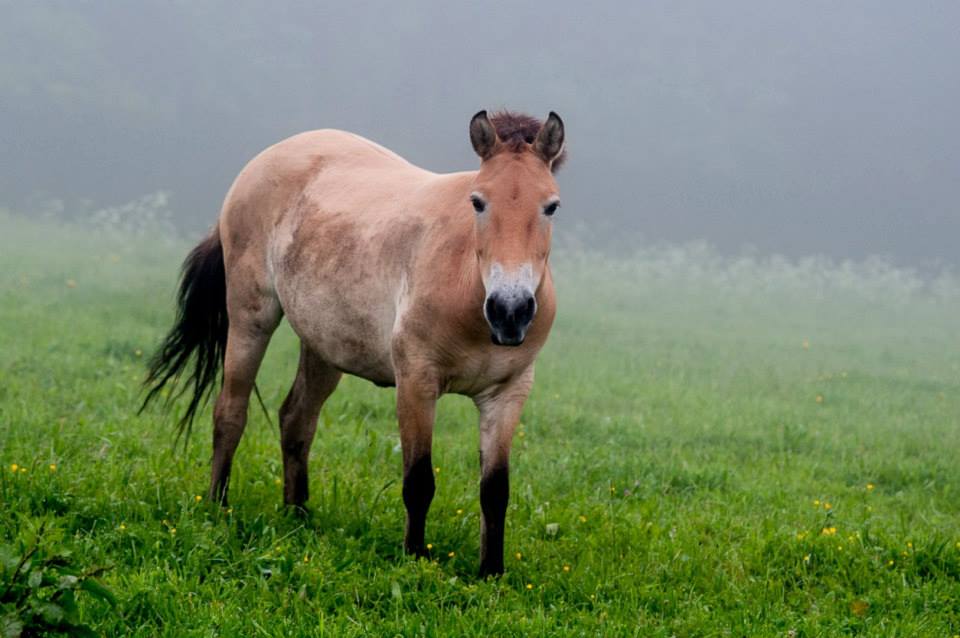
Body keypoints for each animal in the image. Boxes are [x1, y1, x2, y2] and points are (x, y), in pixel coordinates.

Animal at [139, 107, 568, 576]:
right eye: (477, 202)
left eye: (551, 206)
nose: (510, 310)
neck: (464, 283)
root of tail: (265, 159)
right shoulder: (416, 382)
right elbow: (419, 480)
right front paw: (415, 557)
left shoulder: (508, 394)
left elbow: (495, 489)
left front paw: (491, 571)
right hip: (252, 319)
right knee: (230, 413)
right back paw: (217, 507)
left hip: (323, 347)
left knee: (296, 420)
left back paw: (297, 515)